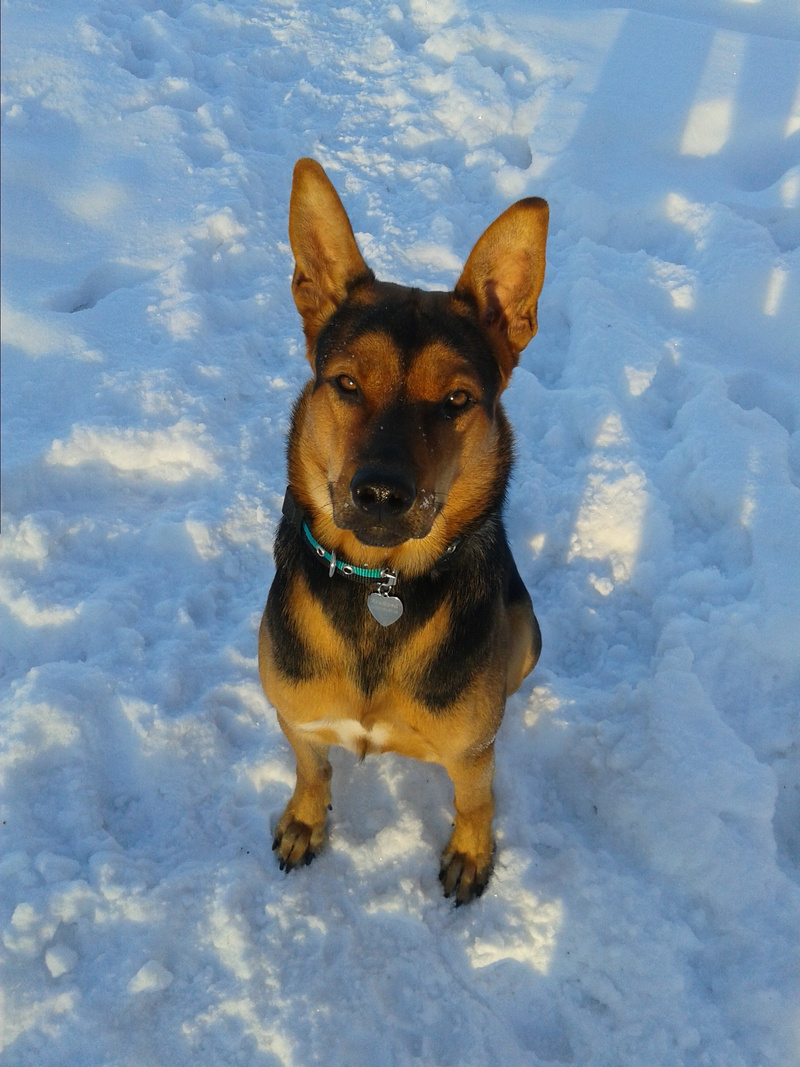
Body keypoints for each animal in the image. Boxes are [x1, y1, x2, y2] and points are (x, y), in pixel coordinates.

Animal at [259, 159, 547, 904]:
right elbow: (313, 768)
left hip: (529, 632)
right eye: (346, 383)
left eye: (457, 399)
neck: (380, 584)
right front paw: (306, 819)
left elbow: (476, 799)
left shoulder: (471, 751)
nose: (382, 493)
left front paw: (471, 854)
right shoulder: (296, 715)